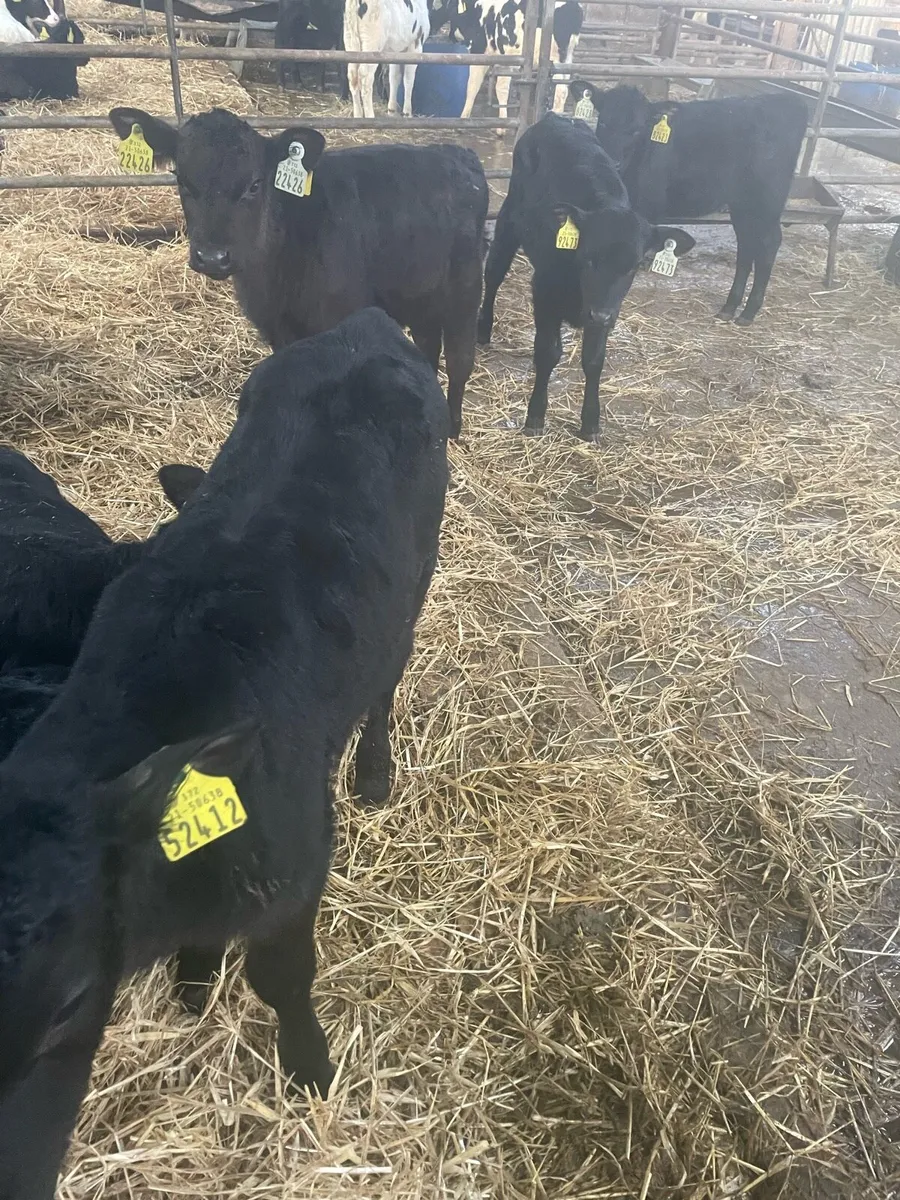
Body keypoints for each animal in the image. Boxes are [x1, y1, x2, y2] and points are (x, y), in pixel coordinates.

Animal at [0, 308, 448, 1200]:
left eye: (69, 1001)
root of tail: (366, 325)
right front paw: (195, 978)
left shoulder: (297, 866)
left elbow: (282, 976)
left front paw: (310, 1066)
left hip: (417, 581)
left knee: (388, 676)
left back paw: (376, 768)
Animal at [108, 106, 488, 438]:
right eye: (183, 181)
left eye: (255, 184)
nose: (212, 257)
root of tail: (457, 154)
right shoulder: (277, 330)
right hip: (422, 296)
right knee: (429, 347)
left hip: (466, 293)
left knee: (459, 360)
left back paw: (453, 429)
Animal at [477, 113, 694, 441]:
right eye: (589, 257)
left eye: (634, 265)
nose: (600, 315)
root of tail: (556, 118)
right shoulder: (545, 291)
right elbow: (548, 352)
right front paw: (535, 416)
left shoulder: (604, 310)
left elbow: (594, 360)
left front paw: (590, 423)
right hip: (509, 219)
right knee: (493, 274)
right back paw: (483, 329)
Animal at [571, 83, 807, 324]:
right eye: (603, 121)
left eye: (637, 129)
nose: (615, 161)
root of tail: (789, 101)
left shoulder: (646, 207)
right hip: (743, 205)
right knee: (747, 245)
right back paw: (729, 307)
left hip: (767, 202)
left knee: (768, 244)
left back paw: (748, 312)